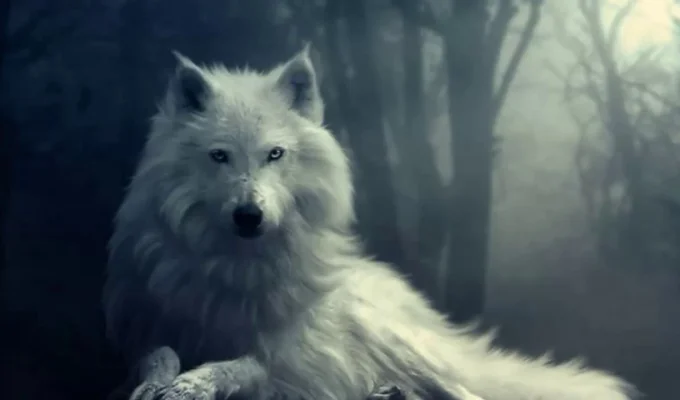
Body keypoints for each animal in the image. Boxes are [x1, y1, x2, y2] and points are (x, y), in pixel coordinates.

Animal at [102, 46, 637, 400]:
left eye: (275, 154)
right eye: (220, 156)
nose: (249, 215)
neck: (237, 269)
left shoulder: (289, 359)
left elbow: (244, 366)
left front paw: (194, 383)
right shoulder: (144, 331)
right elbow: (158, 356)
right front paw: (162, 382)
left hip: (402, 348)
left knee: (464, 392)